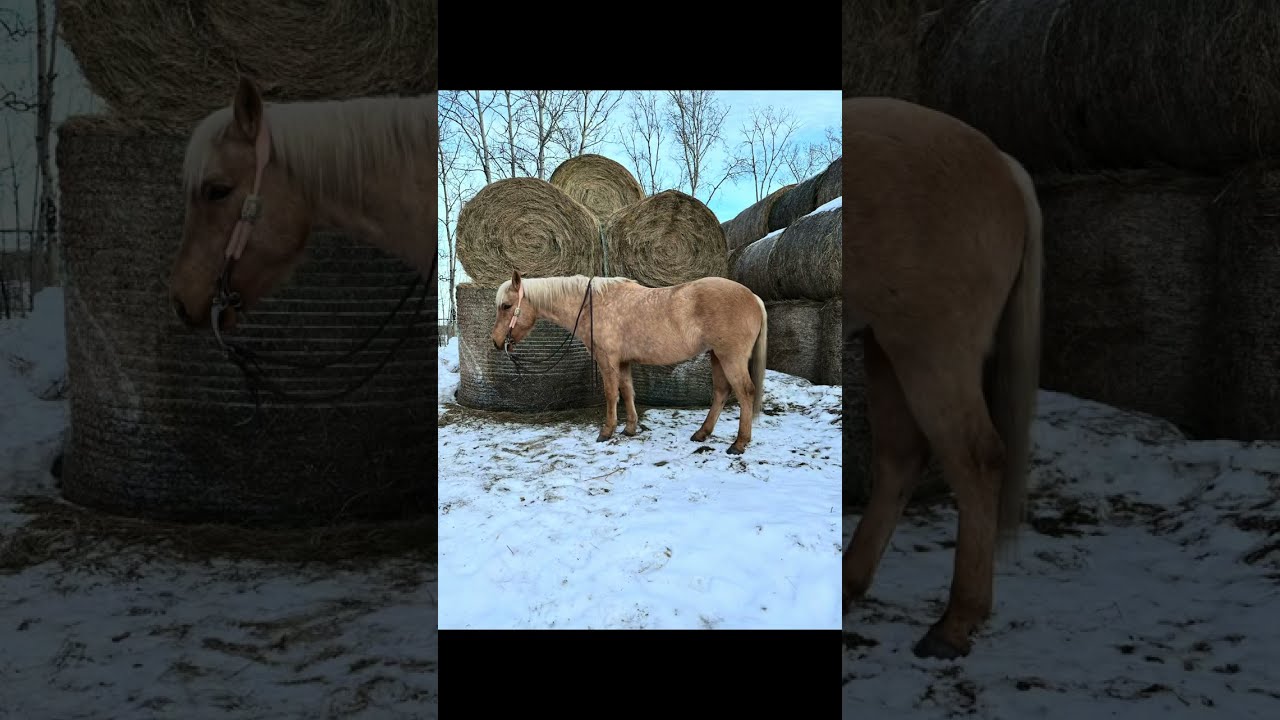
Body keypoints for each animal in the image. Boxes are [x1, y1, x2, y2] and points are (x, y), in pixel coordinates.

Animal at [489, 271, 768, 455]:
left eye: (506, 306)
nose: (496, 342)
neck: (594, 305)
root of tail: (754, 297)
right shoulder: (623, 362)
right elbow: (627, 392)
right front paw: (630, 429)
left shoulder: (608, 360)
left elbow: (611, 394)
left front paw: (607, 431)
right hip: (717, 357)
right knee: (721, 392)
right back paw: (702, 434)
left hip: (730, 358)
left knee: (745, 393)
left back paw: (739, 444)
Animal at [842, 97, 1043, 660]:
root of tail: (1002, 165)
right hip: (886, 346)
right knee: (902, 457)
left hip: (931, 347)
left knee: (977, 458)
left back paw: (956, 622)